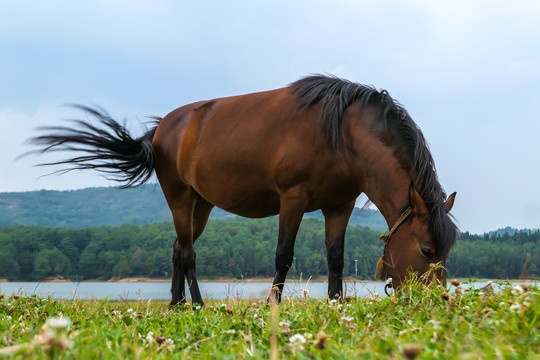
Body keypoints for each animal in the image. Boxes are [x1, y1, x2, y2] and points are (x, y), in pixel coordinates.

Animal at [25, 74, 456, 306]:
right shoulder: (293, 200)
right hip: (179, 198)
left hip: (201, 205)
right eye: (426, 250)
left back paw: (177, 304)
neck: (342, 134)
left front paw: (335, 304)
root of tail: (162, 128)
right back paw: (197, 304)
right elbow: (283, 256)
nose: (436, 302)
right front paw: (273, 305)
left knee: (178, 249)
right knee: (188, 253)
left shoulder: (340, 205)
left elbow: (335, 258)